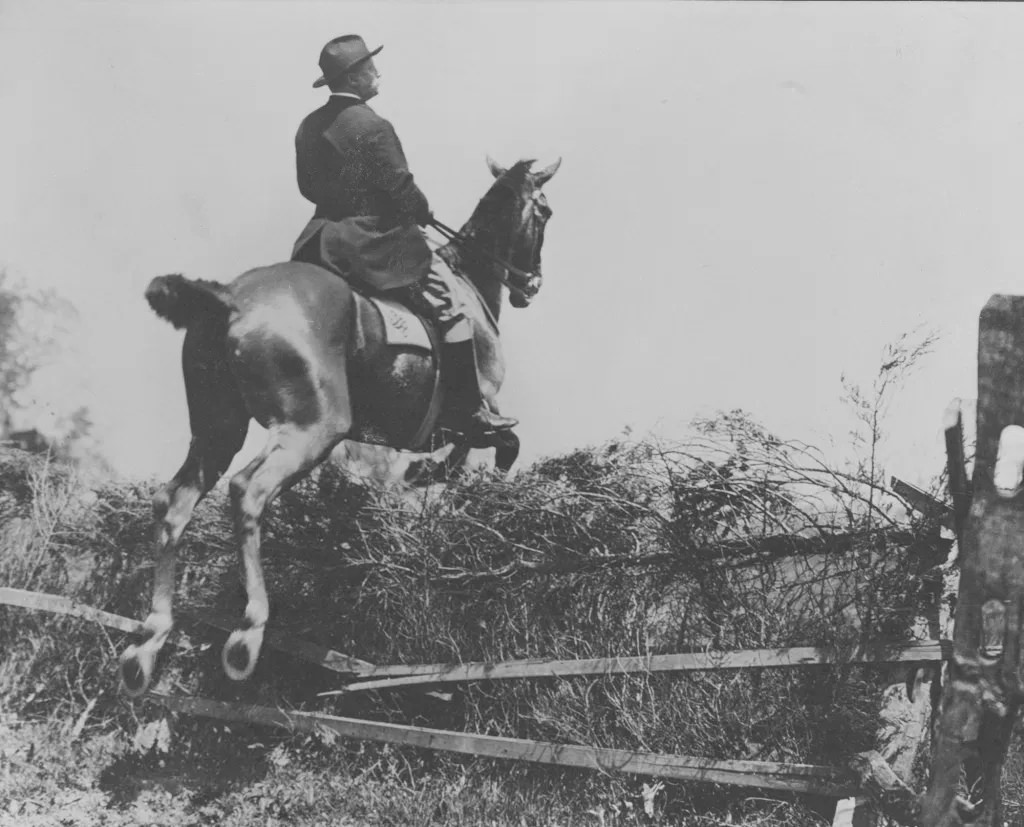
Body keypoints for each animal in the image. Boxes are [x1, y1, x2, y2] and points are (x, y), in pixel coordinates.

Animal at [118, 156, 561, 695]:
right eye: (545, 211)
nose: (531, 286)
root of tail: (231, 297)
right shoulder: (480, 410)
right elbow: (501, 444)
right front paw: (452, 486)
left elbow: (466, 458)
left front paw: (428, 479)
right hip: (314, 429)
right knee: (248, 490)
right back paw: (249, 630)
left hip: (217, 430)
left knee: (174, 503)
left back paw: (149, 640)